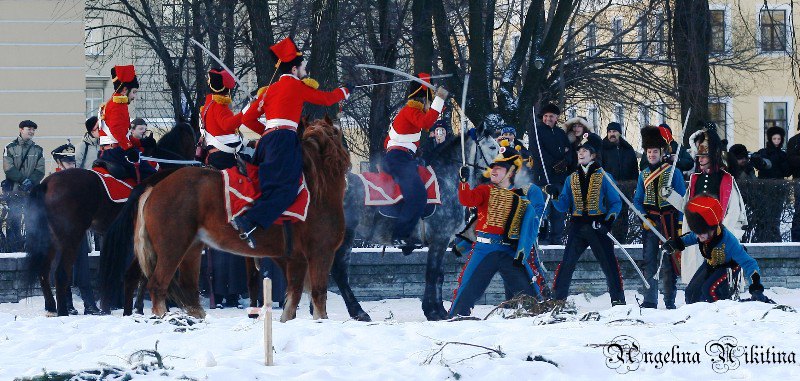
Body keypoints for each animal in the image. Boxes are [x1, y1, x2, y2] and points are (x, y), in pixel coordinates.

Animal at [25, 121, 197, 314]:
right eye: (195, 138)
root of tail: (46, 183)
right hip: (71, 238)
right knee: (61, 274)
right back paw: (63, 311)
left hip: (50, 239)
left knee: (43, 271)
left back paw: (51, 307)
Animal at [101, 117, 350, 320]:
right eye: (339, 134)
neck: (316, 187)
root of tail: (154, 187)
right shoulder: (321, 252)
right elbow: (318, 296)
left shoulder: (294, 259)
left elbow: (292, 298)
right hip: (172, 248)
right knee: (157, 285)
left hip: (190, 249)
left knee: (181, 287)